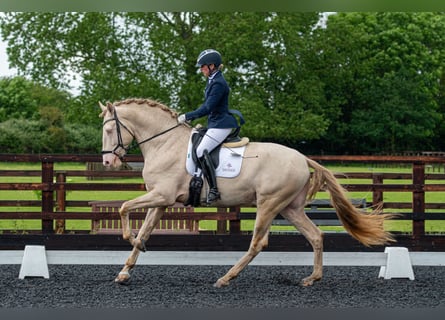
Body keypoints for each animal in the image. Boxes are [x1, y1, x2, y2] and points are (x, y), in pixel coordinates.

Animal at [99, 98, 394, 288]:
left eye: (110, 129)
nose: (108, 162)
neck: (164, 142)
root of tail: (302, 158)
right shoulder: (160, 201)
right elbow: (144, 229)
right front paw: (126, 270)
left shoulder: (162, 196)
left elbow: (124, 208)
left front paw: (131, 243)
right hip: (290, 208)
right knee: (315, 236)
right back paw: (312, 279)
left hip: (268, 204)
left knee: (258, 243)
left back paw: (225, 278)